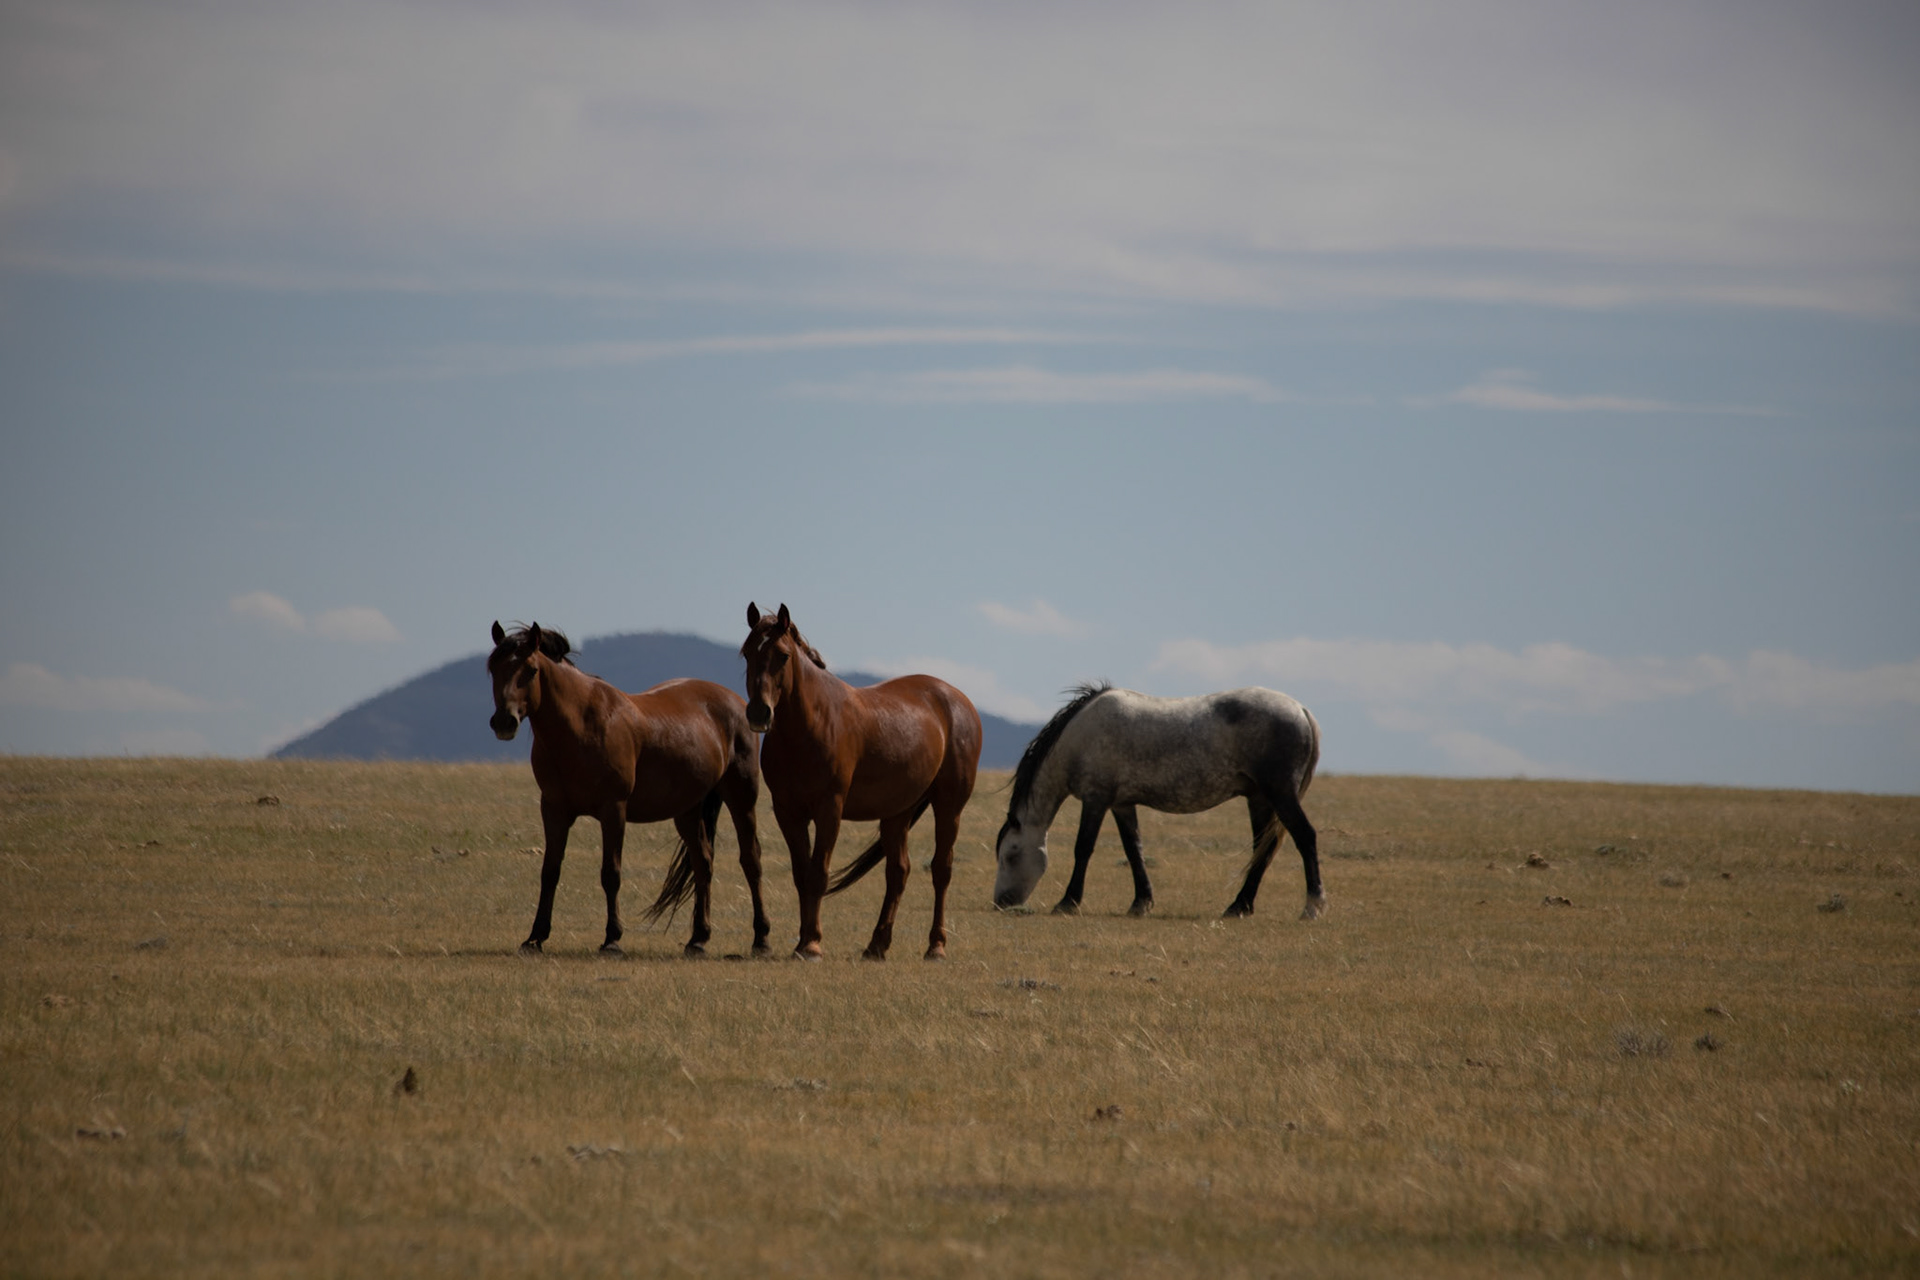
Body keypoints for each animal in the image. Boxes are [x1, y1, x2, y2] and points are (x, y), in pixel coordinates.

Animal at [487, 621, 771, 956]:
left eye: (530, 670)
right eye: (493, 668)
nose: (504, 721)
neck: (581, 727)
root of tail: (737, 703)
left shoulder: (614, 810)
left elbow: (611, 873)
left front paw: (612, 938)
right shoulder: (554, 810)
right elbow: (550, 871)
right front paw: (535, 937)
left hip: (742, 799)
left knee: (751, 860)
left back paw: (761, 938)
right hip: (688, 810)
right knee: (703, 863)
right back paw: (698, 939)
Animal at [740, 603, 981, 960]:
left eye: (782, 655)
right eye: (746, 653)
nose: (759, 713)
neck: (811, 724)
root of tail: (959, 701)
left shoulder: (830, 810)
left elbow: (818, 873)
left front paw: (812, 944)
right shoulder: (788, 812)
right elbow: (801, 875)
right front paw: (802, 941)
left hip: (949, 806)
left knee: (941, 869)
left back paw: (936, 946)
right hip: (897, 813)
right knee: (898, 872)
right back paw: (877, 944)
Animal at [992, 682, 1325, 921]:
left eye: (1010, 855)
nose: (1000, 903)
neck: (1080, 737)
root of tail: (1301, 710)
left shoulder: (1096, 799)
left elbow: (1083, 848)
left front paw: (1068, 902)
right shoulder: (1122, 804)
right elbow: (1134, 850)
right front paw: (1140, 902)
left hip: (1279, 794)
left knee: (1305, 837)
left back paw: (1312, 907)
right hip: (1259, 799)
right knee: (1262, 849)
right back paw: (1240, 906)